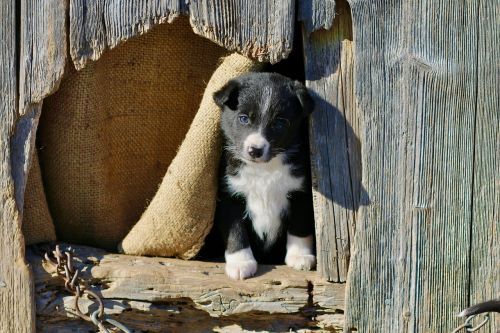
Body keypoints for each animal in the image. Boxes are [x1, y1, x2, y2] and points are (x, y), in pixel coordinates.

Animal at [212, 72, 314, 280]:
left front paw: (300, 256)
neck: (264, 170)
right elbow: (236, 230)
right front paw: (240, 263)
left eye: (280, 123)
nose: (255, 150)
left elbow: (299, 225)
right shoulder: (229, 195)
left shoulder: (301, 192)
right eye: (243, 118)